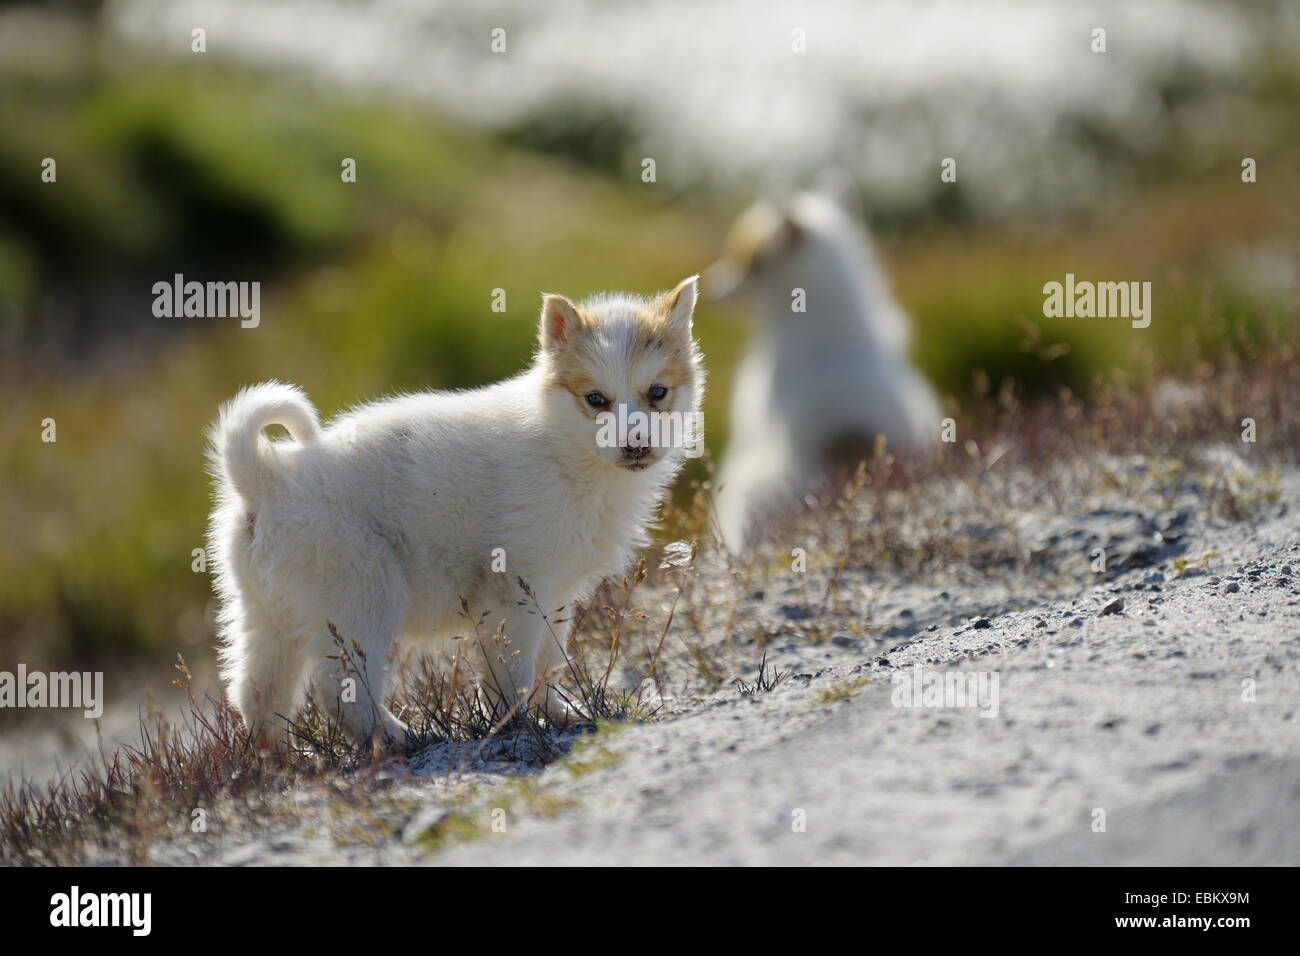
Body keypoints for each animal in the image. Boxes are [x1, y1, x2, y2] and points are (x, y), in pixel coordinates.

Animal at [208, 277, 707, 749]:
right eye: (596, 400)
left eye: (657, 392)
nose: (637, 444)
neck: (565, 446)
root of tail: (268, 477)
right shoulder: (516, 587)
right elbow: (515, 671)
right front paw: (517, 724)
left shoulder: (556, 593)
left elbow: (550, 662)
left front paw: (563, 713)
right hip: (363, 598)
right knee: (339, 689)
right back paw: (395, 737)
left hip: (267, 616)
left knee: (256, 692)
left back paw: (277, 760)